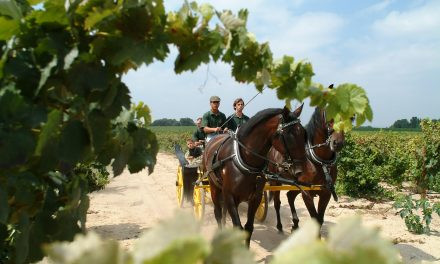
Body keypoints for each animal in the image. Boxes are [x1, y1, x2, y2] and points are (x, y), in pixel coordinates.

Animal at [203, 104, 306, 245]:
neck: (246, 159)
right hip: (214, 186)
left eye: (304, 133)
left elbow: (248, 228)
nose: (301, 170)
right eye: (289, 136)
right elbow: (238, 227)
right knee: (217, 212)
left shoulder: (255, 197)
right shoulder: (229, 195)